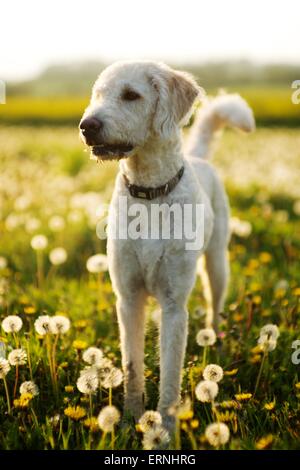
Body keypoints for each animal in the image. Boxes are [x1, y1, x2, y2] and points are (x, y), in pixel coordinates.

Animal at [79, 60, 253, 432]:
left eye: (131, 95)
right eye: (98, 94)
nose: (87, 126)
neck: (149, 193)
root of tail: (198, 158)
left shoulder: (174, 305)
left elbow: (171, 374)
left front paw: (166, 429)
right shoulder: (128, 298)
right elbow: (131, 367)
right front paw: (130, 420)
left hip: (217, 264)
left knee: (215, 307)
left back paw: (216, 341)